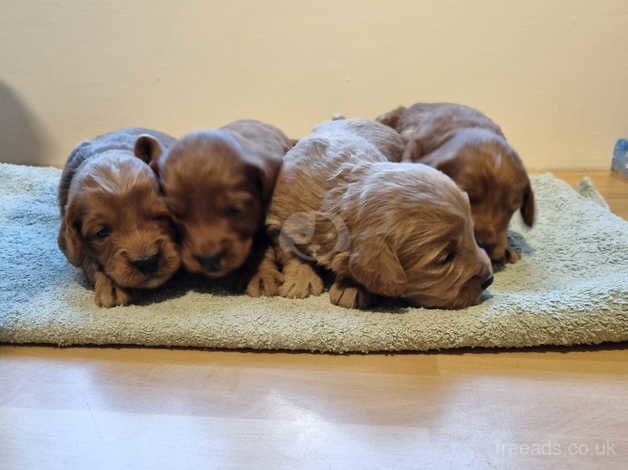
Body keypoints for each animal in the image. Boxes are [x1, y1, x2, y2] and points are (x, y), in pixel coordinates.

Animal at [268, 118, 494, 308]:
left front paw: (352, 287)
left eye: (471, 235)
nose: (489, 279)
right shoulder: (277, 217)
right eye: (444, 258)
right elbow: (288, 249)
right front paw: (301, 280)